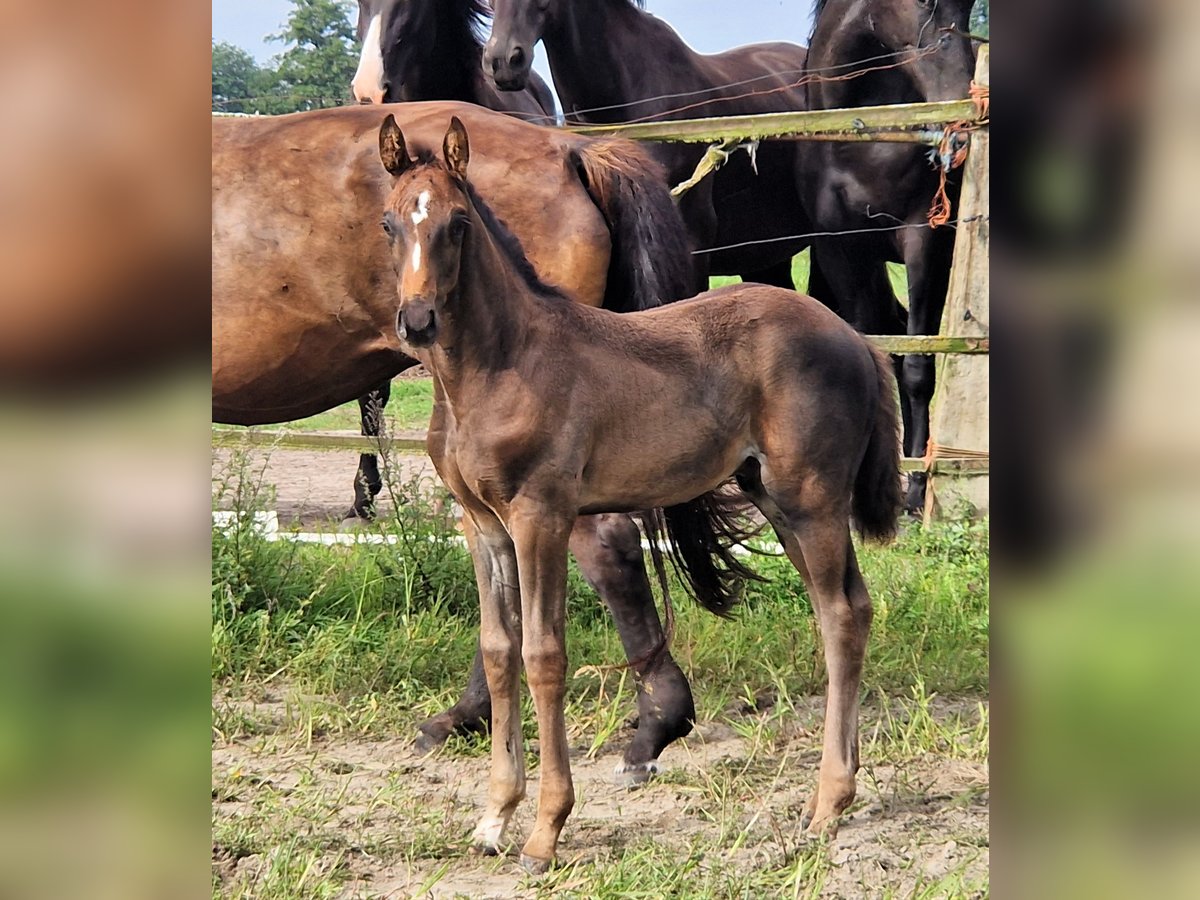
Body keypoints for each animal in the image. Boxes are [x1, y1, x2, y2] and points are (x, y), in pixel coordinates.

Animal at [211, 100, 700, 777]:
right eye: (386, 224)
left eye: (458, 225)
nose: (417, 318)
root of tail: (571, 150)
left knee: (603, 547)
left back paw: (652, 716)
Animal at [376, 114, 902, 873]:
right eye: (389, 222)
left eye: (458, 223)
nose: (416, 321)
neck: (498, 365)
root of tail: (857, 340)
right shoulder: (482, 523)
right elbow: (500, 651)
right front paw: (494, 817)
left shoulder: (542, 514)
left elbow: (544, 655)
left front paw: (544, 831)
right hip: (776, 500)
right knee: (852, 608)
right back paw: (842, 792)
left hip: (812, 497)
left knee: (837, 615)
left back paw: (826, 805)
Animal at [796, 0, 974, 511]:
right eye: (924, 4)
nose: (960, 129)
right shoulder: (842, 249)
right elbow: (874, 347)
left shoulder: (925, 242)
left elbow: (917, 366)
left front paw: (915, 487)